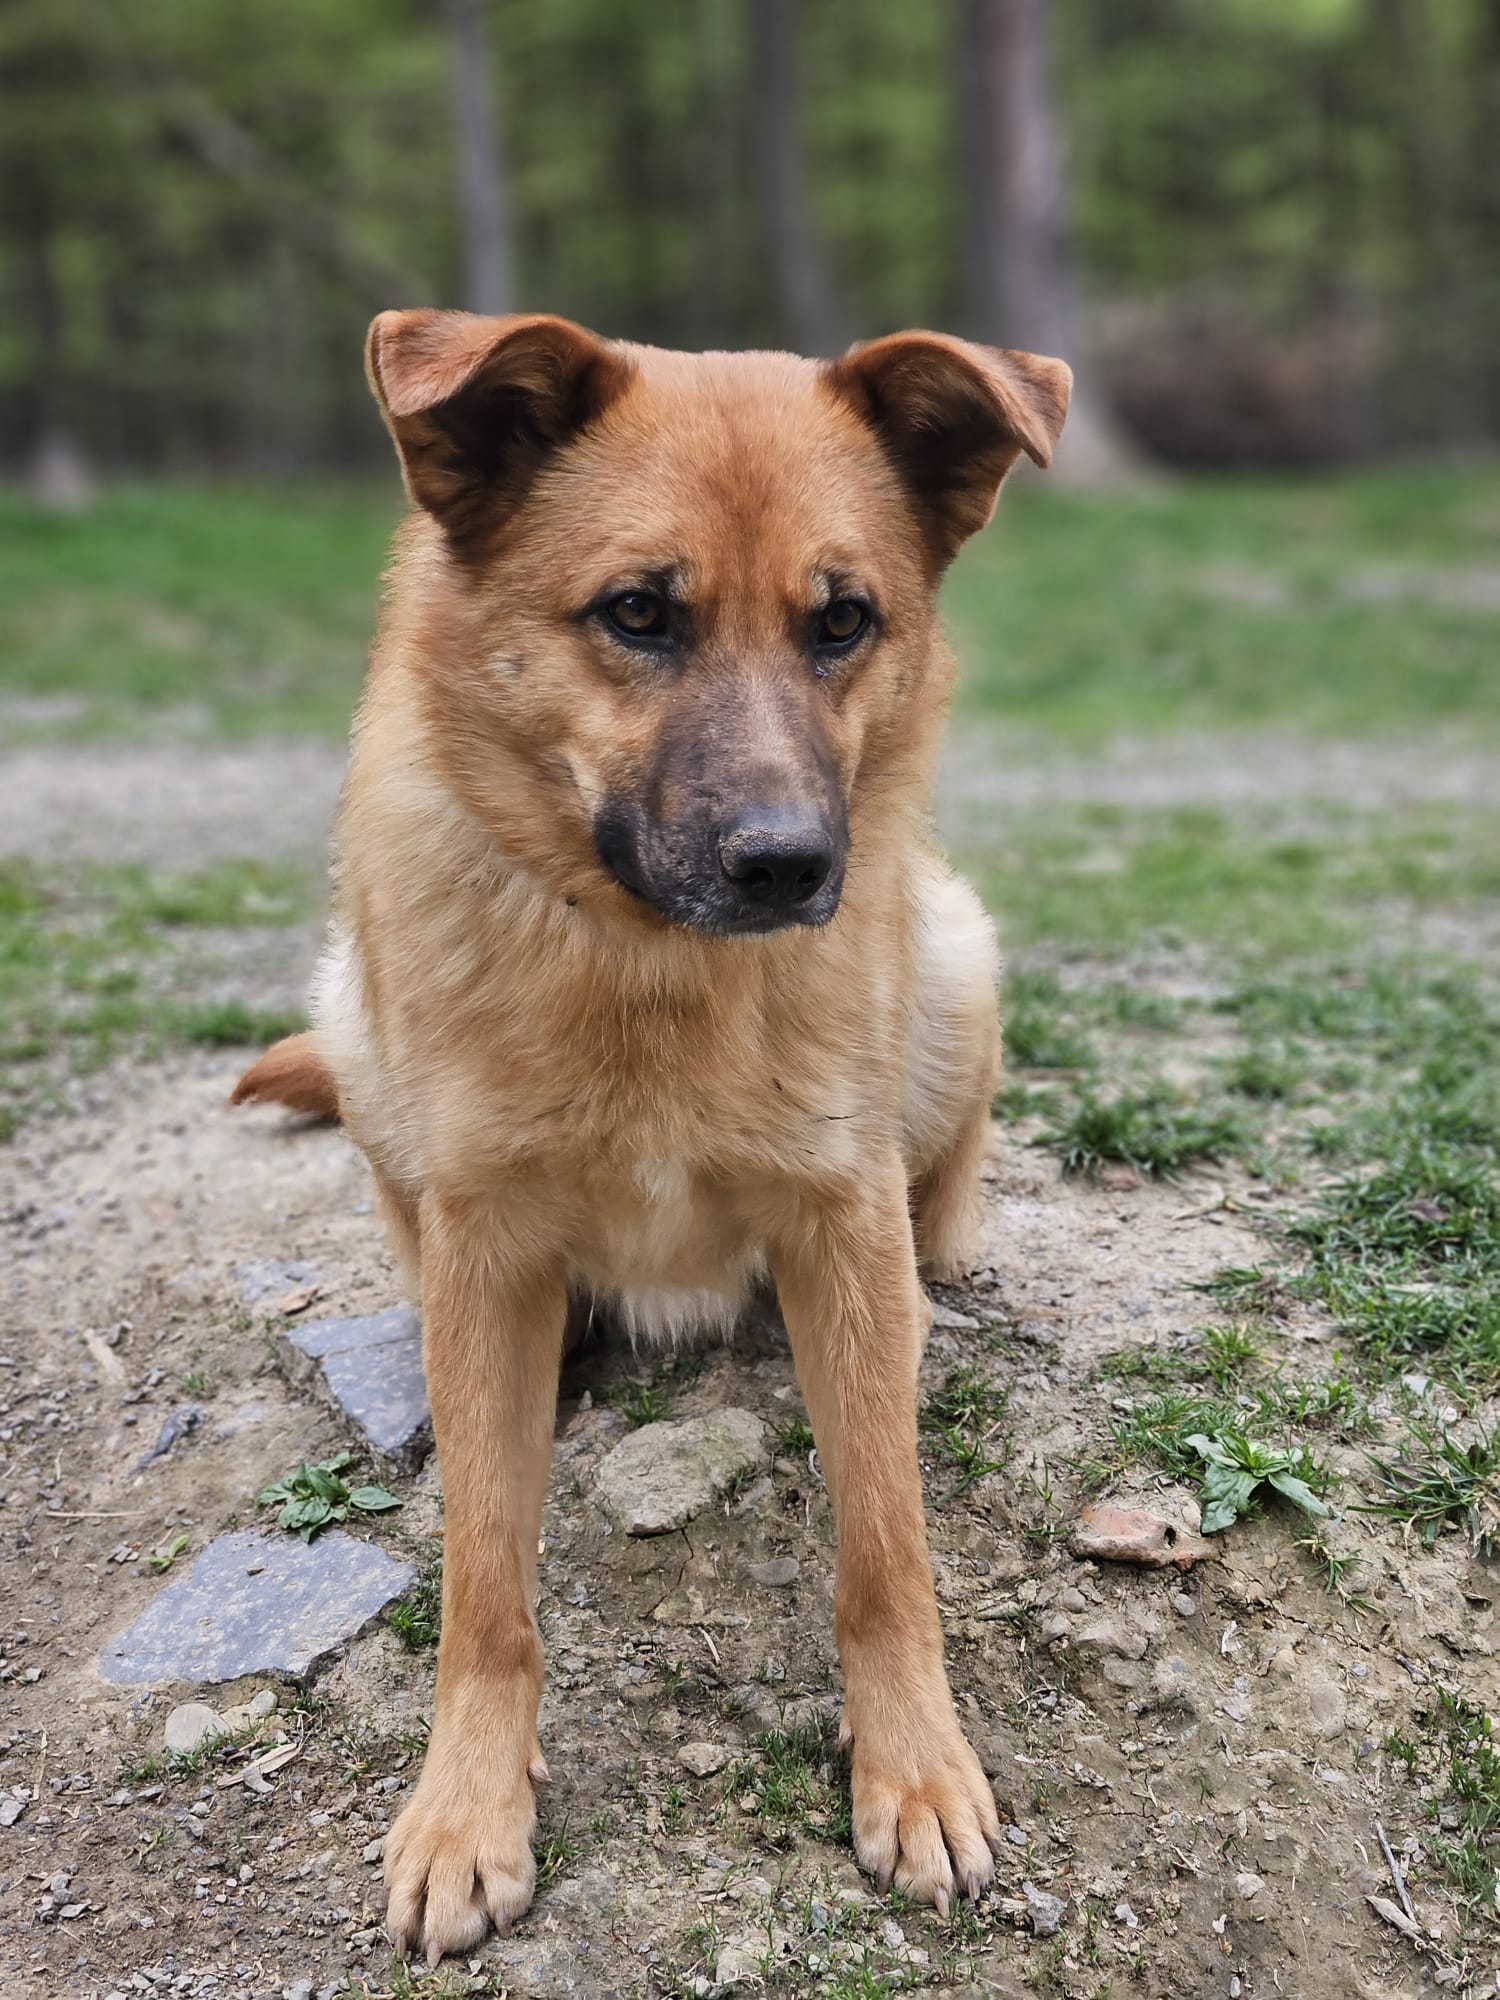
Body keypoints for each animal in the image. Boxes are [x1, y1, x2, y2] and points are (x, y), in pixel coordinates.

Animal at [232, 309, 1069, 1963]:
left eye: (843, 621)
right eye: (636, 613)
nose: (790, 866)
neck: (651, 969)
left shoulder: (842, 1224)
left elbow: (888, 1551)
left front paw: (918, 1768)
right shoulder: (488, 1248)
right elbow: (486, 1589)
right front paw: (466, 1809)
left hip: (954, 960)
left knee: (944, 1188)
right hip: (355, 1029)